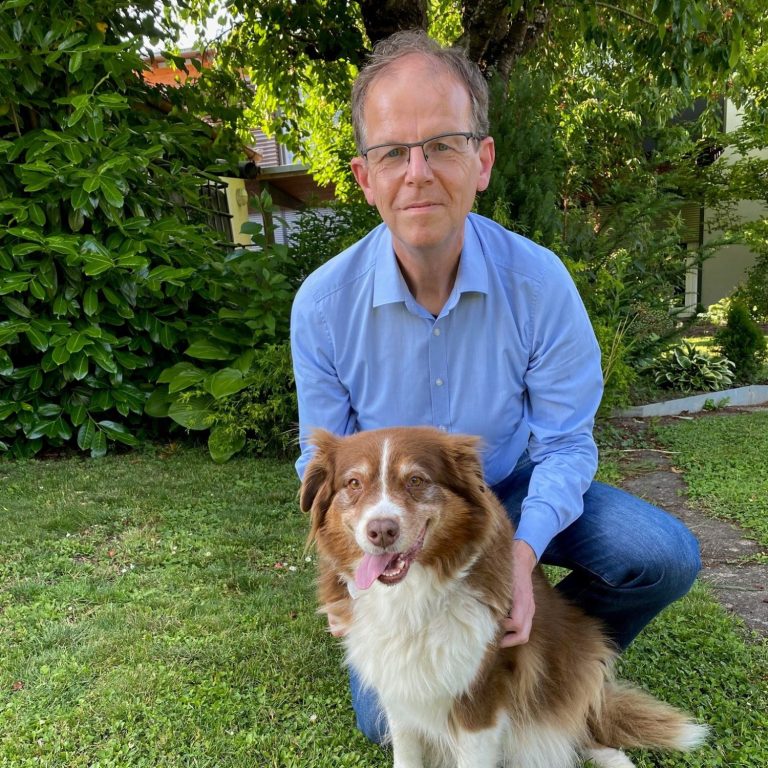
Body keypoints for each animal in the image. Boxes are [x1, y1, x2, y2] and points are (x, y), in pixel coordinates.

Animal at [301, 426, 707, 768]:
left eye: (416, 480)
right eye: (353, 483)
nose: (381, 531)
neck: (410, 597)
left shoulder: (481, 697)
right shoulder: (399, 691)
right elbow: (407, 754)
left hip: (576, 664)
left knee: (578, 722)